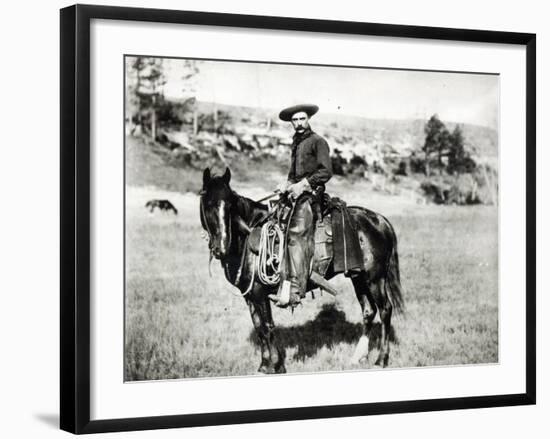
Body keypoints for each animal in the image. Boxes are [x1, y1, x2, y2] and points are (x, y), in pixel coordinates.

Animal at [199, 167, 406, 372]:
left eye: (229, 205)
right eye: (208, 204)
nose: (221, 247)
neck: (247, 236)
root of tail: (380, 220)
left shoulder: (259, 292)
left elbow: (268, 327)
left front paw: (276, 366)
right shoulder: (249, 295)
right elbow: (259, 328)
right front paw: (264, 365)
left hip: (375, 278)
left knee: (385, 310)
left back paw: (381, 359)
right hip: (358, 277)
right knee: (369, 311)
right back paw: (357, 357)